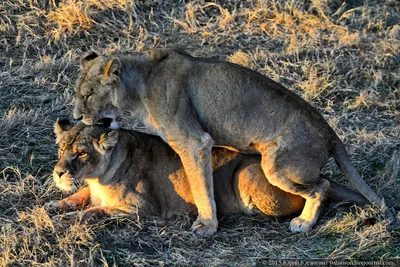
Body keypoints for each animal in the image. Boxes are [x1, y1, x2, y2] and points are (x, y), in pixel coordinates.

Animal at [45, 119, 374, 224]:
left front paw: (65, 220)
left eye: (82, 153)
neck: (98, 176)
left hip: (248, 174)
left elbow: (95, 211)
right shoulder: (91, 190)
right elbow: (79, 197)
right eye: (61, 149)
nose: (59, 172)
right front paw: (53, 205)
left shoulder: (141, 211)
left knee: (319, 189)